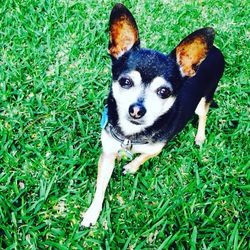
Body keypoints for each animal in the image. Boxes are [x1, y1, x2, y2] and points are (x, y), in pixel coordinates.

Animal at [80, 2, 225, 228]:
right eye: (125, 82)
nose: (136, 110)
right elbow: (100, 187)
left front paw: (132, 166)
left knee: (203, 115)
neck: (132, 136)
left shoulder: (157, 148)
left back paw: (200, 136)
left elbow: (144, 156)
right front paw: (92, 213)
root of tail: (216, 50)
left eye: (164, 92)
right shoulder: (108, 154)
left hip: (205, 98)